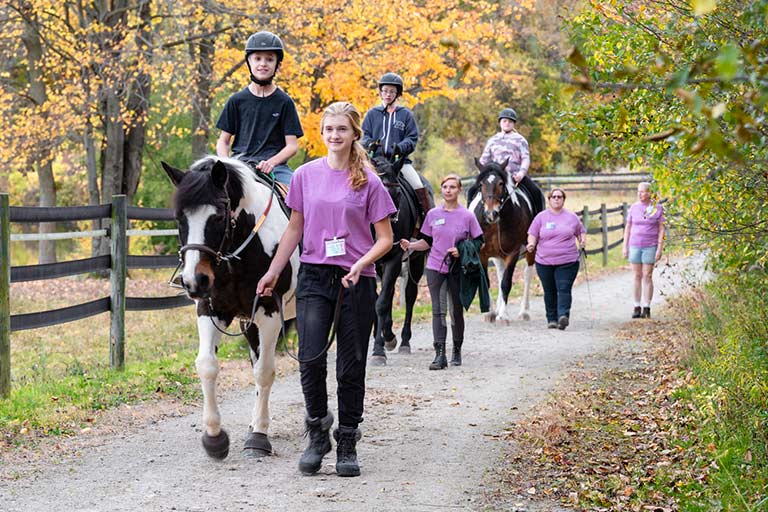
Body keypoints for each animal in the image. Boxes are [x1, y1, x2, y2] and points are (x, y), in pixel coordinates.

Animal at [161, 156, 296, 460]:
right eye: (179, 218)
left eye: (219, 217)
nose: (193, 280)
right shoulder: (211, 309)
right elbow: (207, 365)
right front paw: (215, 437)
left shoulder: (269, 311)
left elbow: (265, 372)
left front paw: (259, 437)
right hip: (250, 324)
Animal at [370, 154, 436, 366]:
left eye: (398, 193)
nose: (388, 225)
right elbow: (378, 300)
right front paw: (382, 339)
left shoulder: (394, 258)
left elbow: (381, 303)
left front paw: (379, 350)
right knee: (391, 293)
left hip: (415, 260)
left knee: (409, 295)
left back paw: (404, 341)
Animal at [464, 158, 544, 322]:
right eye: (481, 185)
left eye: (501, 183)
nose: (491, 213)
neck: (495, 225)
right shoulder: (481, 253)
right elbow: (488, 282)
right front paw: (489, 313)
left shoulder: (512, 253)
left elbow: (506, 283)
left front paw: (503, 316)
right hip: (497, 255)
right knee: (500, 274)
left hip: (530, 252)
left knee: (527, 275)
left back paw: (524, 312)